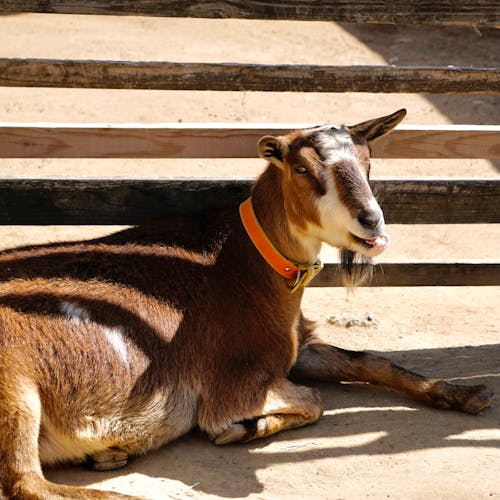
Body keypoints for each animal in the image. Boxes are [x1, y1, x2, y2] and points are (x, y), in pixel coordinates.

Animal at [0, 110, 492, 500]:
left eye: (369, 162)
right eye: (302, 169)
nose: (371, 223)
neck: (246, 266)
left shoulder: (295, 346)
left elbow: (371, 360)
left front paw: (467, 394)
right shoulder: (235, 384)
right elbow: (312, 401)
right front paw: (240, 429)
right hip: (16, 388)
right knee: (28, 483)